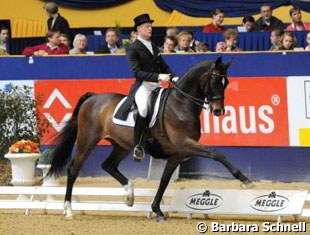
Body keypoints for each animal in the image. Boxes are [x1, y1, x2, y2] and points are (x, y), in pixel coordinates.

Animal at [47, 57, 252, 222]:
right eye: (215, 80)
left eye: (226, 82)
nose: (218, 111)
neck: (180, 104)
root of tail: (93, 98)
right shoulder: (185, 144)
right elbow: (216, 153)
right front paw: (245, 180)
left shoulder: (178, 153)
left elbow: (164, 180)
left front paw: (157, 211)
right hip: (87, 141)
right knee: (73, 169)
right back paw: (68, 210)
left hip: (121, 146)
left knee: (108, 165)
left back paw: (129, 196)